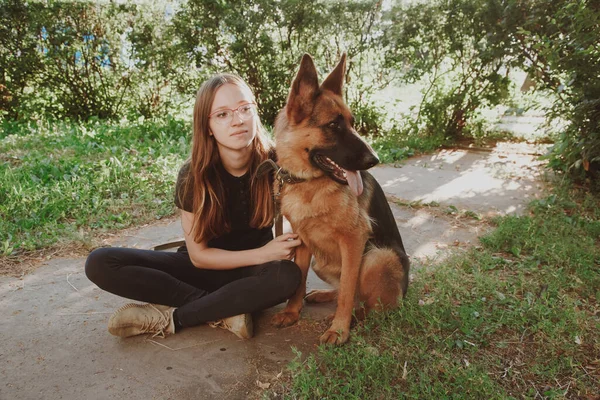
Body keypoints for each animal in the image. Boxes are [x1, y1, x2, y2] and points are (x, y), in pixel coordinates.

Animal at [270, 53, 410, 346]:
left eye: (352, 122)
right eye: (333, 125)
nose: (375, 159)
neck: (310, 184)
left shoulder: (354, 240)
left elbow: (347, 288)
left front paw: (339, 329)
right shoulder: (302, 241)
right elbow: (300, 280)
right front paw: (291, 312)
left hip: (377, 257)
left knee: (372, 305)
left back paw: (355, 316)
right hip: (320, 262)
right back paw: (323, 295)